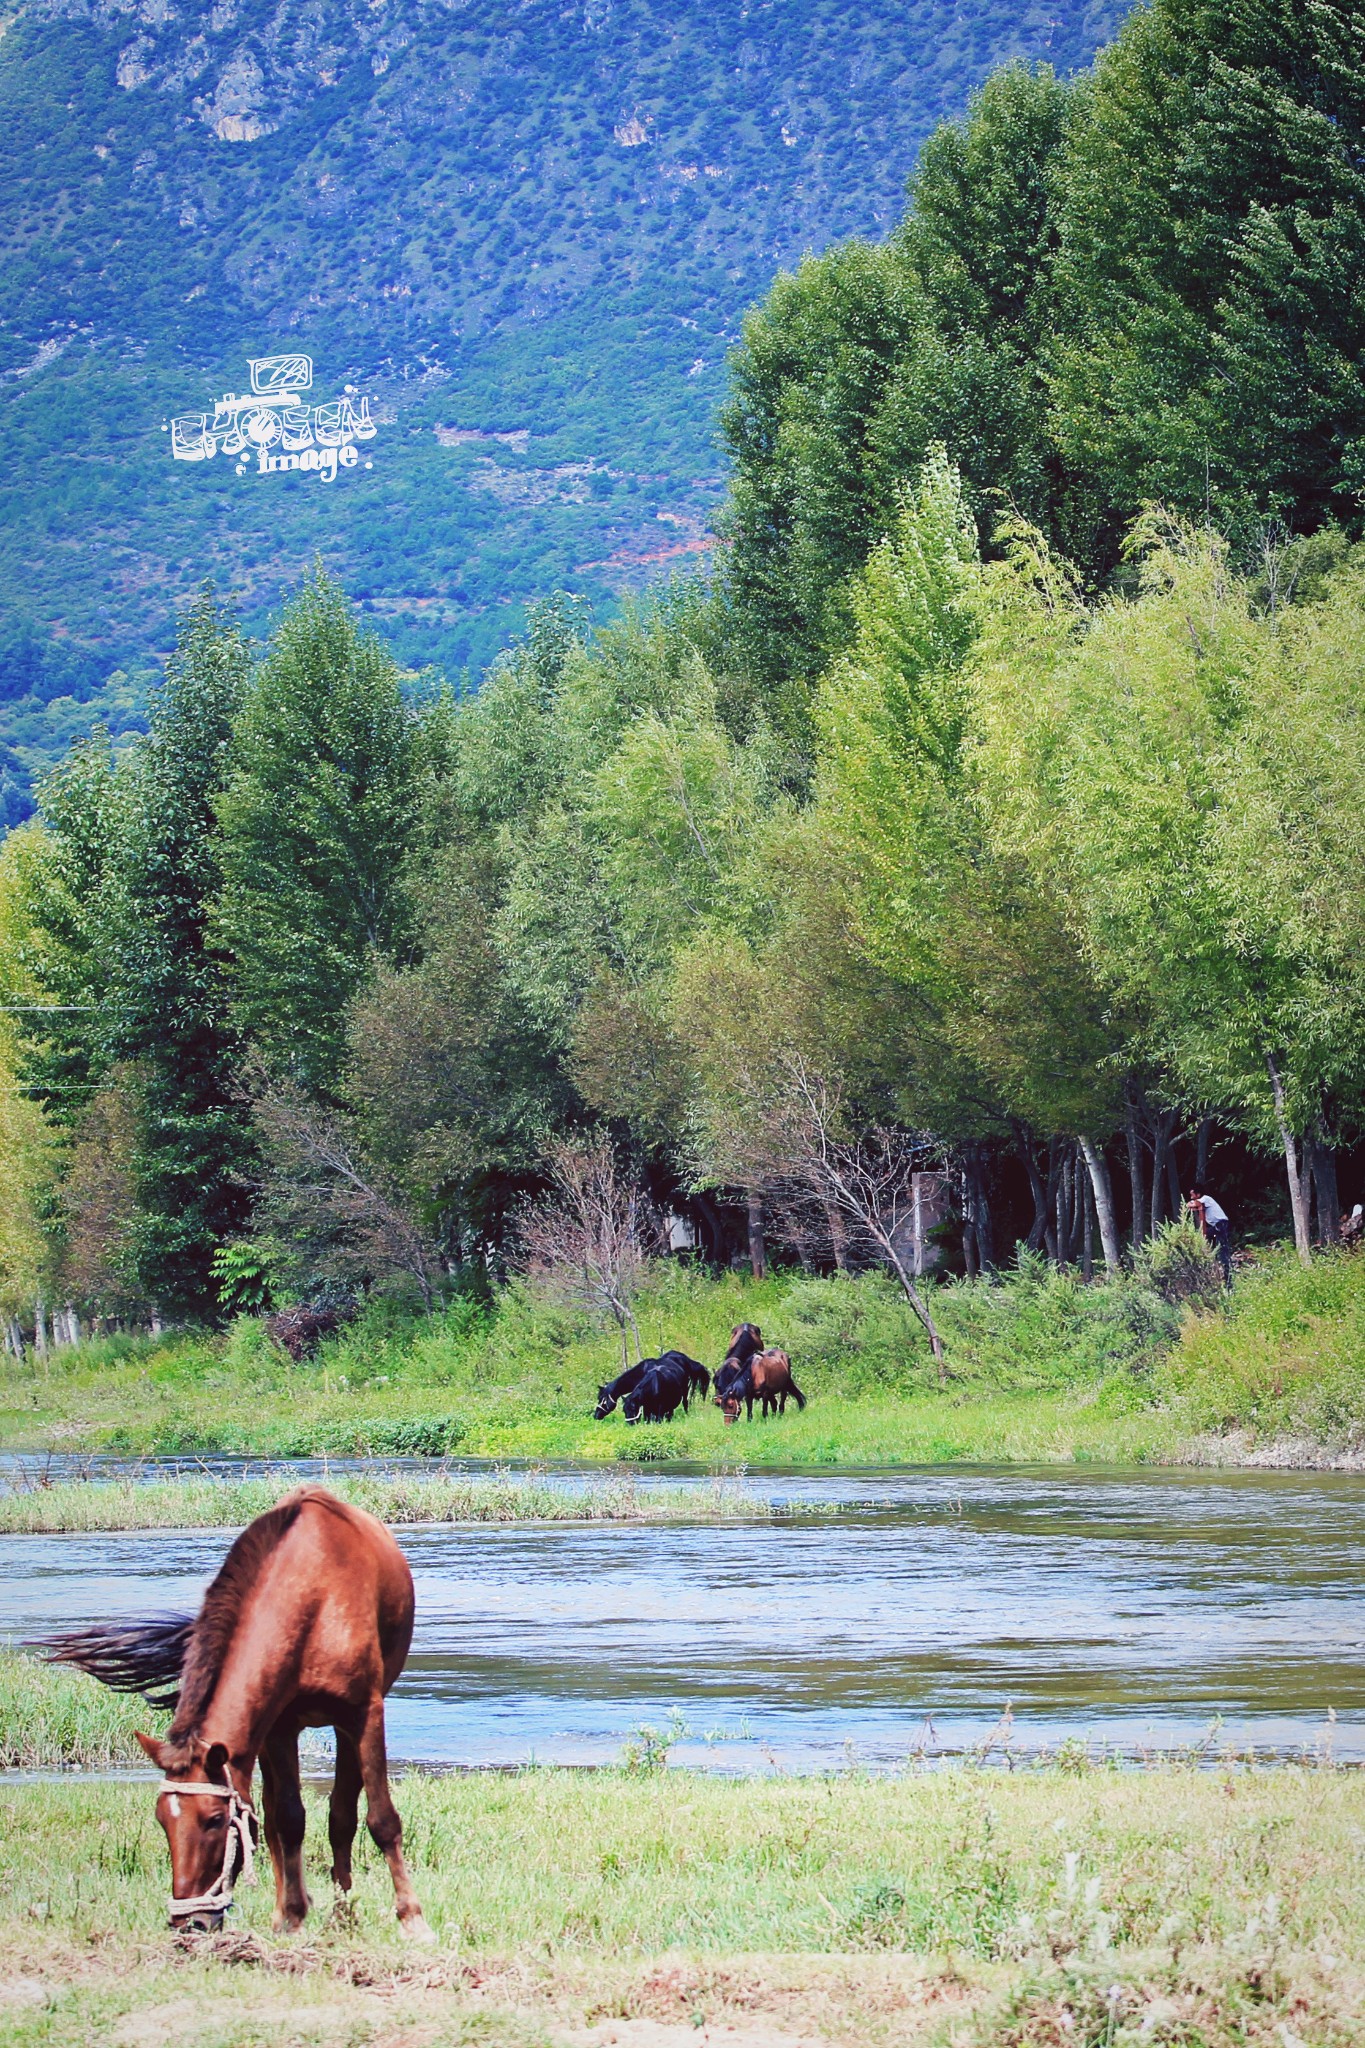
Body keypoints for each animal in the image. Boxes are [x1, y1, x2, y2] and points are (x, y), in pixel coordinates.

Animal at [40, 1490, 429, 1933]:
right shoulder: (278, 1728)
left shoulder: (362, 1715)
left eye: (214, 1819)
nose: (187, 1922)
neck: (313, 1601)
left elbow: (379, 1820)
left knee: (342, 1815)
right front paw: (292, 1916)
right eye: (162, 1819)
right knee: (275, 1814)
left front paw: (411, 1919)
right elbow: (288, 1819)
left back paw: (344, 1913)